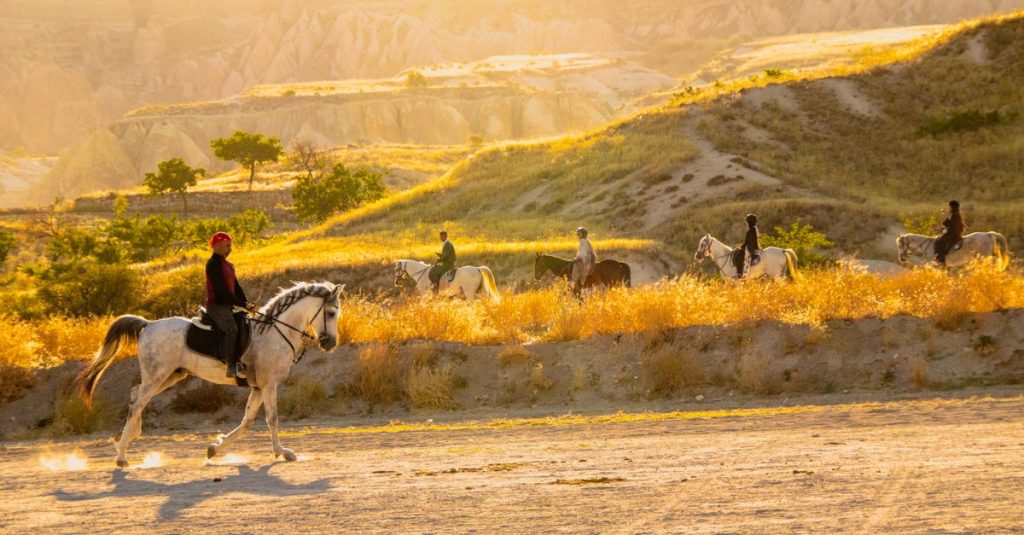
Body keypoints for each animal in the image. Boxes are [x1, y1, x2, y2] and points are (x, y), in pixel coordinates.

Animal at [78, 282, 344, 467]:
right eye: (331, 313)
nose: (330, 344)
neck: (275, 332)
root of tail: (148, 325)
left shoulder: (258, 387)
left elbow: (247, 422)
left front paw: (214, 449)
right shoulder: (269, 385)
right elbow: (273, 419)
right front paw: (283, 453)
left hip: (171, 375)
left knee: (136, 395)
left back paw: (128, 438)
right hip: (158, 374)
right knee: (138, 402)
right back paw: (122, 456)